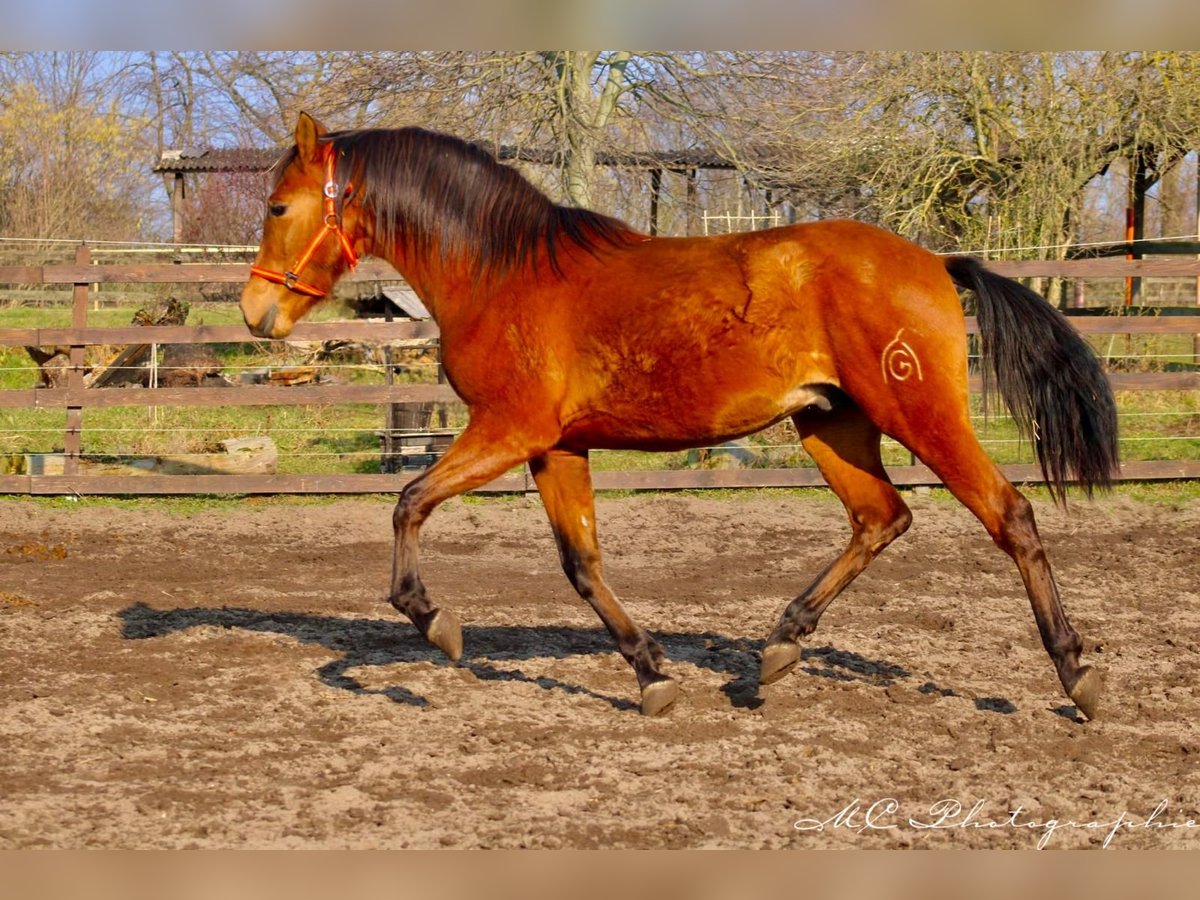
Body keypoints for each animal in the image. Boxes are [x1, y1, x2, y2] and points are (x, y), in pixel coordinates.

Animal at [238, 112, 1118, 724]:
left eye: (278, 206)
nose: (254, 312)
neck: (502, 275)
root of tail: (936, 261)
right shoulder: (556, 448)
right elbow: (582, 565)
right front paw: (652, 674)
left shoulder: (508, 431)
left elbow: (408, 502)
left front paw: (436, 623)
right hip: (831, 424)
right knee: (882, 517)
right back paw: (778, 648)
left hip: (920, 412)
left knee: (1008, 514)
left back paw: (1077, 674)